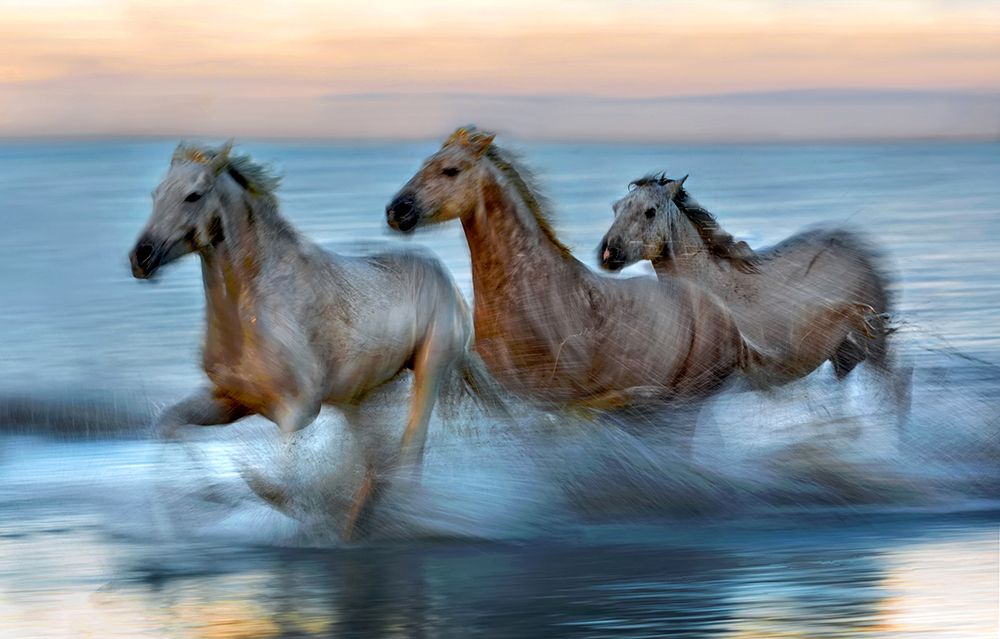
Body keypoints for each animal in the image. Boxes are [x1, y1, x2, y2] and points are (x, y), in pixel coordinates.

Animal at [129, 141, 497, 539]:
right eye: (155, 194)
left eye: (193, 195)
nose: (141, 257)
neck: (250, 309)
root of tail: (446, 279)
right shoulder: (228, 400)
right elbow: (167, 425)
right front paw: (199, 501)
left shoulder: (298, 410)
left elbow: (278, 484)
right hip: (364, 396)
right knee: (377, 465)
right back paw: (357, 527)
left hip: (430, 368)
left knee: (408, 454)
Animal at [384, 127, 853, 433]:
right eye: (425, 164)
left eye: (450, 170)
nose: (397, 210)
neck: (532, 288)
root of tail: (727, 319)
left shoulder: (567, 401)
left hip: (685, 400)